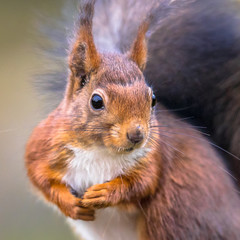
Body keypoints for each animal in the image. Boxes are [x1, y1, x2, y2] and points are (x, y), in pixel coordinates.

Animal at [25, 0, 240, 240]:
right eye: (96, 101)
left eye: (153, 99)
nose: (137, 135)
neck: (101, 150)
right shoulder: (44, 144)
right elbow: (38, 176)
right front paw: (69, 204)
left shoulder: (153, 156)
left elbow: (143, 183)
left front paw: (104, 193)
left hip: (172, 212)